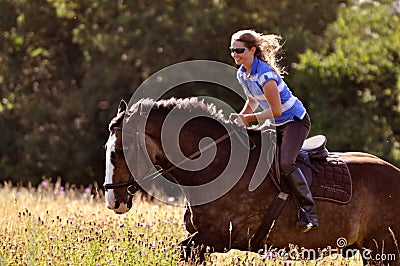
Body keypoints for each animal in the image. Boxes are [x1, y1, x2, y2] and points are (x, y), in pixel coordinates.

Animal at [104, 98, 400, 266]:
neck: (214, 164)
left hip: (384, 249)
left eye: (120, 151)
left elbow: (183, 250)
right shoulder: (201, 240)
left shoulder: (217, 237)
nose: (113, 201)